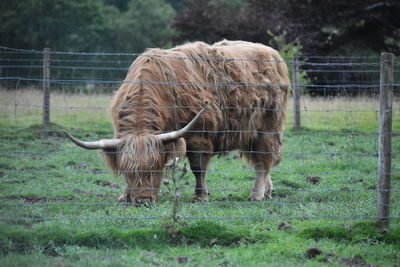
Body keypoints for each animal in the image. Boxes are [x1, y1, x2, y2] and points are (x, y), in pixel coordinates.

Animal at [65, 40, 290, 205]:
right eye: (128, 171)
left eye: (156, 167)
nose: (142, 201)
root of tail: (272, 53)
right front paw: (124, 196)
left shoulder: (199, 135)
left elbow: (198, 168)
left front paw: (200, 195)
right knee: (264, 161)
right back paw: (268, 190)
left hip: (268, 127)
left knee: (263, 160)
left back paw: (256, 194)